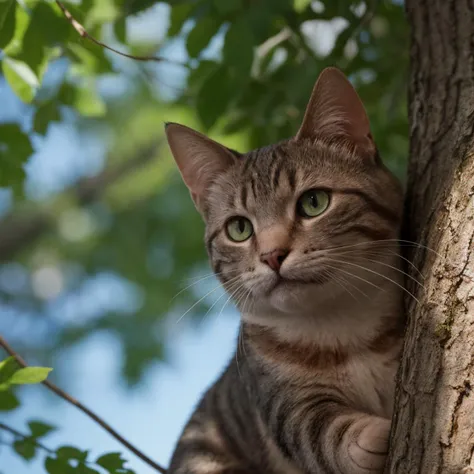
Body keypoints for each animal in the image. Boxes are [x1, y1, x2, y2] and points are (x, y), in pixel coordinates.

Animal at [163, 67, 404, 474]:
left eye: (314, 202)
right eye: (239, 228)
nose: (273, 255)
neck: (345, 332)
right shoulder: (282, 401)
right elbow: (320, 433)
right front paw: (371, 436)